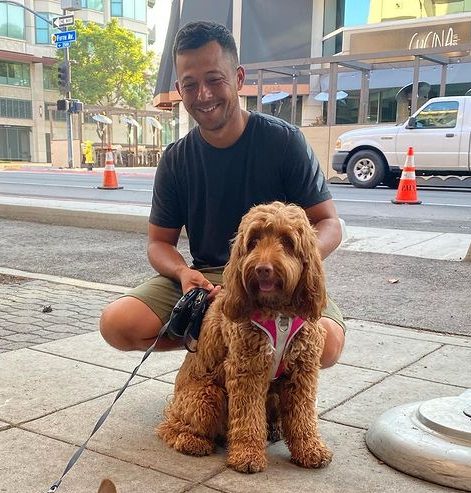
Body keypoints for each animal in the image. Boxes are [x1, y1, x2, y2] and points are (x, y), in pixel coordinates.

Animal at [158, 201, 332, 472]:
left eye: (287, 241)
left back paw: (273, 429)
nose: (262, 269)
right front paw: (247, 455)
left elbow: (303, 416)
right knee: (172, 427)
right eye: (254, 240)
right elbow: (248, 417)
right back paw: (192, 440)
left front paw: (310, 449)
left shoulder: (302, 371)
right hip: (208, 396)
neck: (279, 314)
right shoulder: (247, 369)